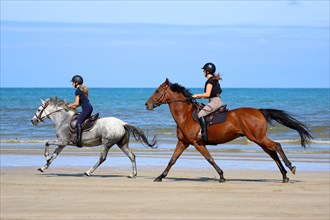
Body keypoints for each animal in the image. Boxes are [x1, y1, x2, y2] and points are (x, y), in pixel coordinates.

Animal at [145, 78, 312, 182]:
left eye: (157, 91)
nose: (147, 105)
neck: (185, 115)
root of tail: (259, 111)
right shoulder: (183, 142)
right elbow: (172, 160)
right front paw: (160, 176)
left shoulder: (197, 143)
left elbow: (210, 159)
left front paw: (221, 176)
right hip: (258, 139)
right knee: (272, 153)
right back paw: (284, 176)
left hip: (257, 138)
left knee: (276, 146)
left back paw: (290, 167)